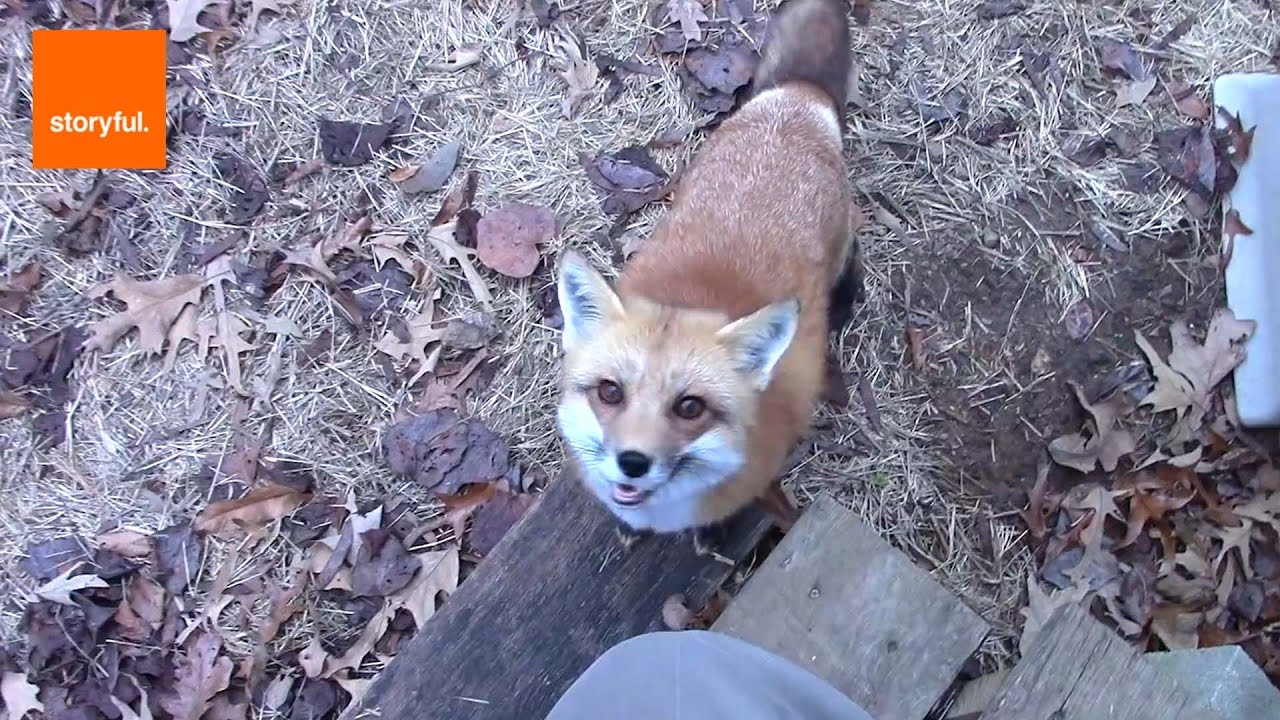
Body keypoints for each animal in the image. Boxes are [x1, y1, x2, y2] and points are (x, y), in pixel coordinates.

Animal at [554, 0, 862, 559]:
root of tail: (797, 96)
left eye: (690, 407)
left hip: (840, 245)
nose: (633, 462)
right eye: (610, 393)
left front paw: (715, 532)